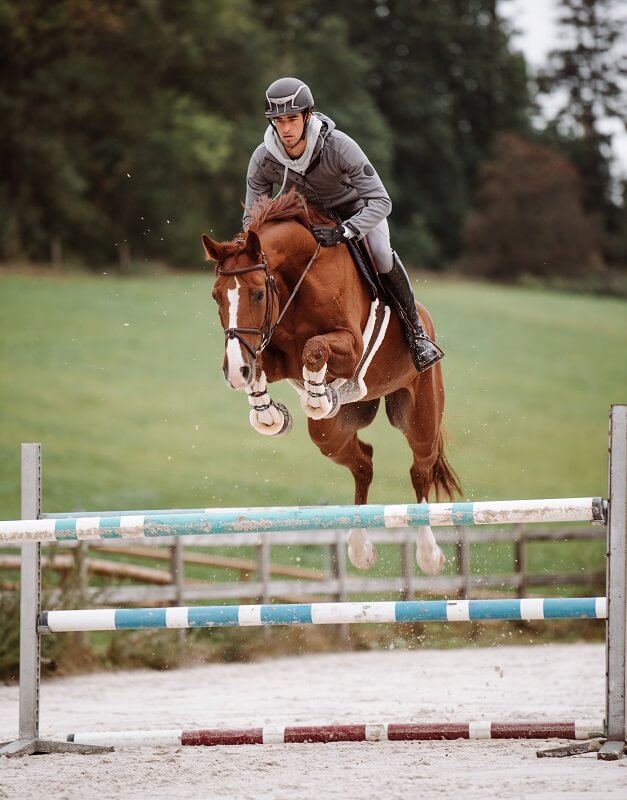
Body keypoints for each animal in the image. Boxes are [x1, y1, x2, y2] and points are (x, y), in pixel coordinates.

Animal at [204, 191, 458, 572]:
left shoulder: (349, 347)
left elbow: (315, 348)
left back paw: (428, 554)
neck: (298, 278)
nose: (234, 372)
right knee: (364, 461)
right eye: (216, 296)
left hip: (420, 417)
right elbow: (262, 366)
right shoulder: (274, 355)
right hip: (329, 434)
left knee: (420, 469)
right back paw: (359, 548)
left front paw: (317, 397)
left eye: (258, 294)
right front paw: (269, 414)